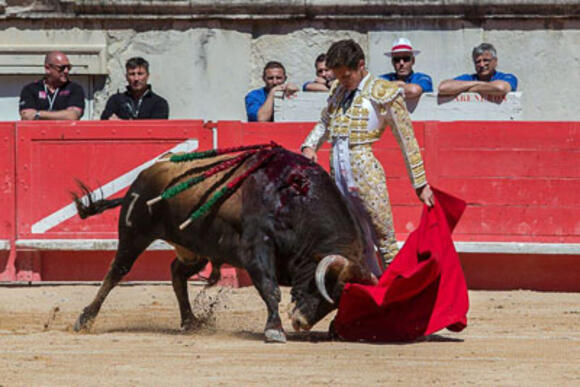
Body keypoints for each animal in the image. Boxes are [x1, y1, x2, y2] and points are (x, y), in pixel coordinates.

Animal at [71, 146, 376, 342]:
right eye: (323, 285)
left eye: (339, 298)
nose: (300, 323)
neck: (294, 199)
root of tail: (149, 170)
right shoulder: (257, 250)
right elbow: (270, 289)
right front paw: (274, 330)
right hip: (135, 233)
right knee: (117, 271)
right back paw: (85, 319)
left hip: (195, 250)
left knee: (177, 272)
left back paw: (190, 321)